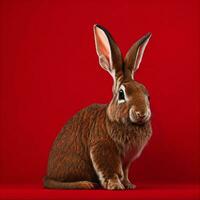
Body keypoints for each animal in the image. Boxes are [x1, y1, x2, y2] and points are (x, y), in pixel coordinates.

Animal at [43, 24, 152, 190]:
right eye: (121, 94)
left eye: (147, 94)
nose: (142, 113)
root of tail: (48, 175)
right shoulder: (103, 148)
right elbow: (111, 170)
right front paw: (116, 186)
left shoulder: (127, 160)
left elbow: (125, 172)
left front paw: (129, 185)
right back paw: (85, 184)